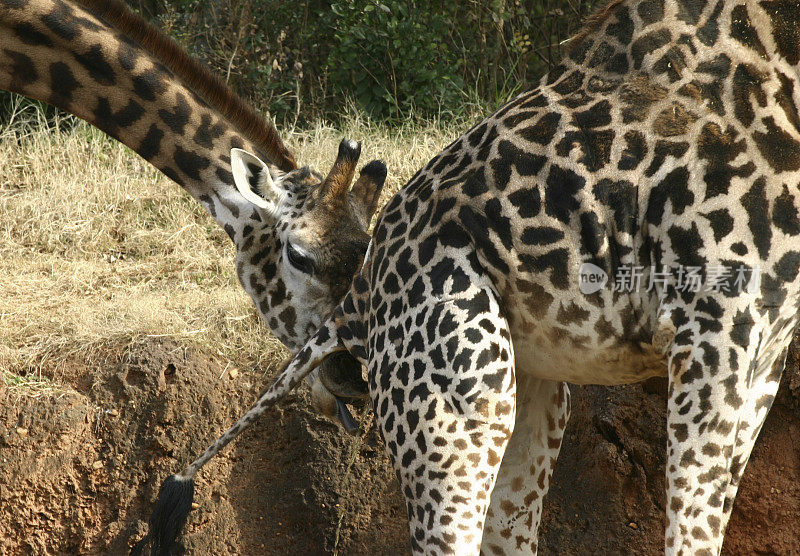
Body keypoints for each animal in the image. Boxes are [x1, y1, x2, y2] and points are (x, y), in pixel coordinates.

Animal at [141, 0, 800, 552]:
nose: (344, 378)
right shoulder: (713, 321)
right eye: (297, 258)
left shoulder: (764, 351)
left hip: (522, 382)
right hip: (458, 390)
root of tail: (361, 301)